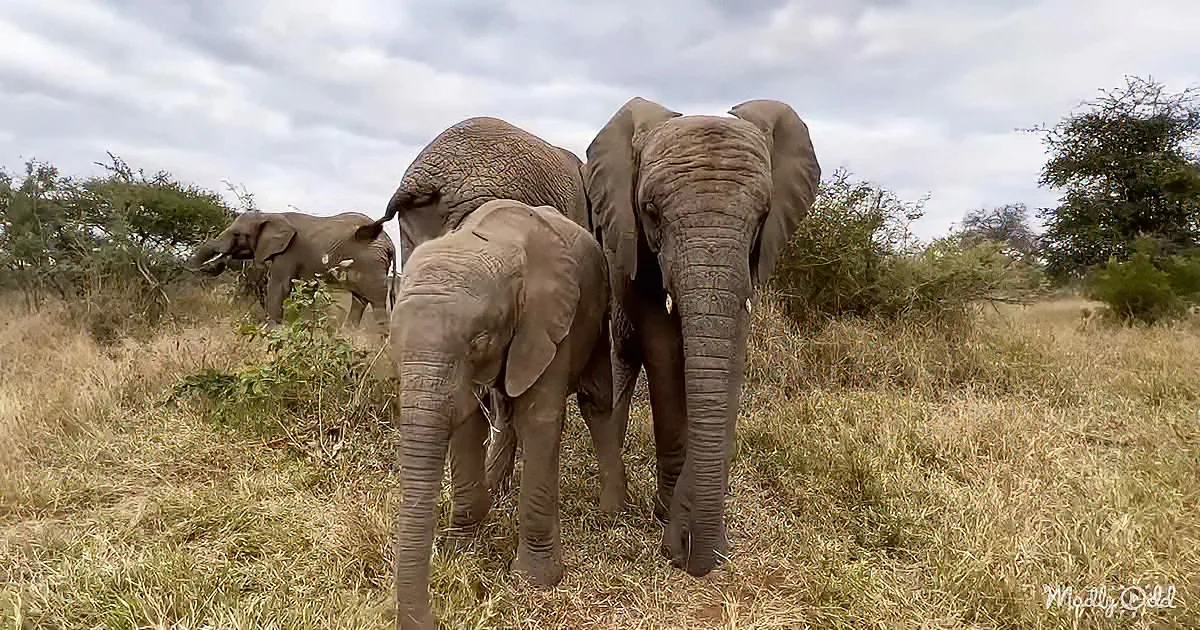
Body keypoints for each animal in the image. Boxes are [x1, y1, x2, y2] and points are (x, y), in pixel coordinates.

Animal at [187, 210, 397, 329]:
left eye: (237, 234)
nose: (208, 267)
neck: (269, 214)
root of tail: (391, 244)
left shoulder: (288, 251)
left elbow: (279, 285)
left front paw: (271, 329)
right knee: (360, 299)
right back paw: (348, 333)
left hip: (371, 263)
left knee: (376, 300)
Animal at [387, 199, 624, 630]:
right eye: (394, 346)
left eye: (479, 341)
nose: (432, 618)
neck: (491, 244)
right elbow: (466, 419)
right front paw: (460, 550)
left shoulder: (548, 319)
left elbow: (540, 418)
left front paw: (536, 580)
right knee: (503, 408)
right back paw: (495, 488)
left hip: (598, 311)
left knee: (594, 399)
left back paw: (612, 511)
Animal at [584, 97, 820, 577]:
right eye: (651, 211)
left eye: (763, 215)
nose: (690, 555)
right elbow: (661, 346)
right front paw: (667, 520)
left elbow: (731, 348)